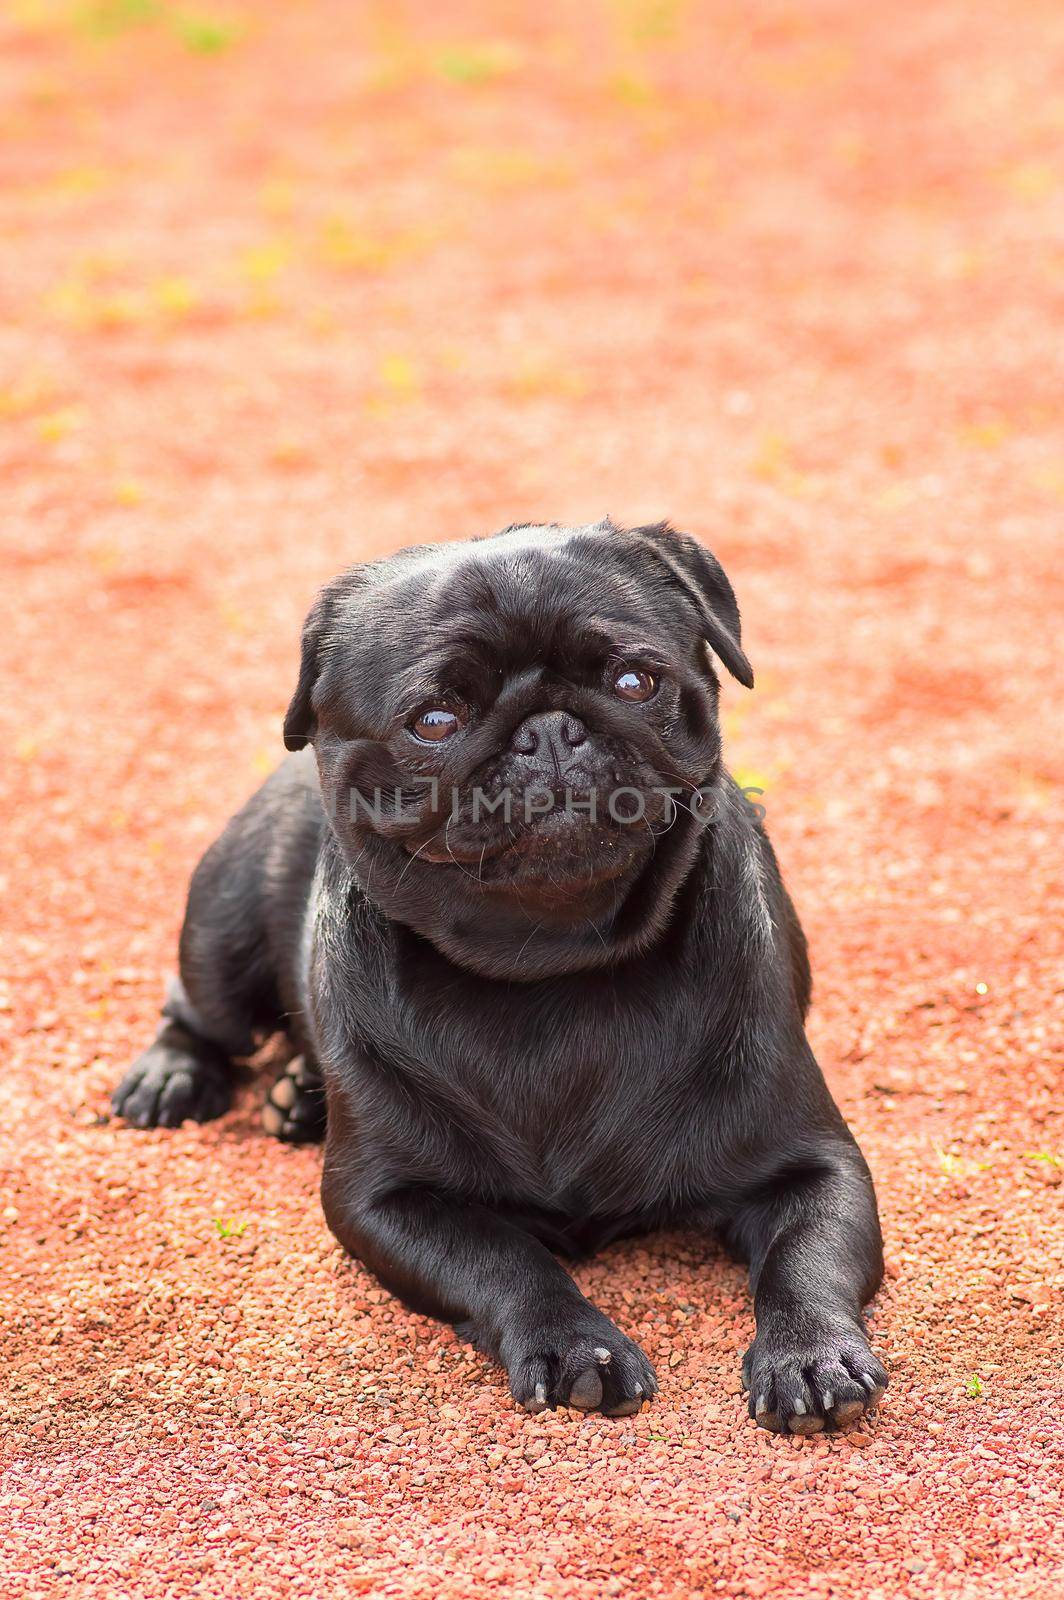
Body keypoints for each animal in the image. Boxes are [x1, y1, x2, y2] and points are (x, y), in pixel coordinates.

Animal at [112, 518, 883, 1433]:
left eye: (635, 679)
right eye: (435, 720)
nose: (547, 729)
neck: (550, 959)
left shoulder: (816, 1165)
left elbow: (806, 1257)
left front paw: (810, 1354)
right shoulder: (387, 1202)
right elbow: (503, 1258)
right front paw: (573, 1344)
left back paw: (296, 1096)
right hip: (224, 938)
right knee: (196, 1010)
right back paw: (174, 1078)